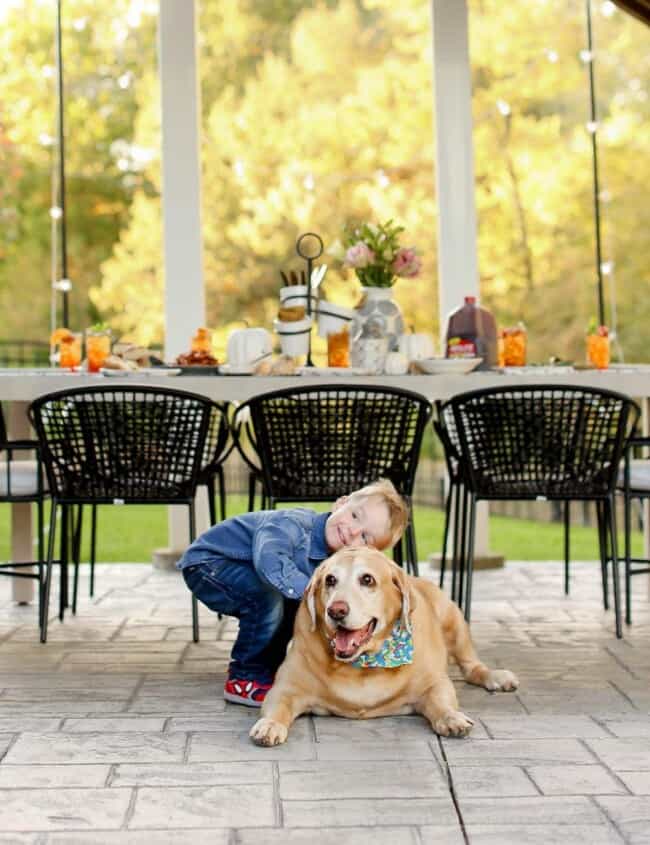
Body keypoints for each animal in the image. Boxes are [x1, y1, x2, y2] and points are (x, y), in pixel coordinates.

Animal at [249, 544, 516, 740]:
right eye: (330, 580)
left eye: (367, 580)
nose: (335, 610)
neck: (365, 663)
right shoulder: (286, 688)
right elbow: (279, 705)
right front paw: (269, 724)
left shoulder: (435, 684)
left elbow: (442, 702)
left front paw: (451, 717)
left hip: (454, 620)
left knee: (472, 667)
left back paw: (496, 676)